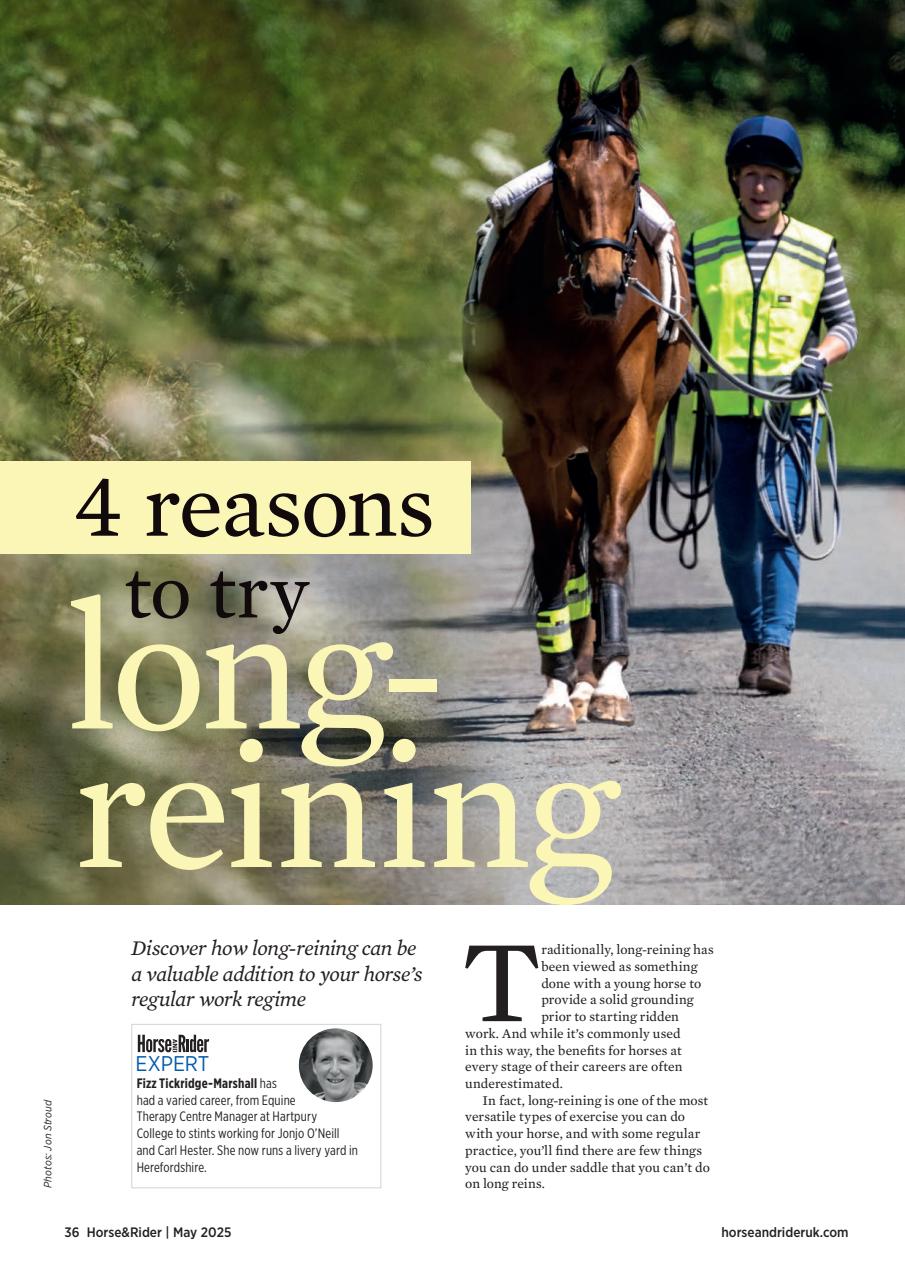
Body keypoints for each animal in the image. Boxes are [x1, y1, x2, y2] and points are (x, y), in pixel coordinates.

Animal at [464, 66, 690, 732]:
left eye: (632, 174)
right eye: (563, 175)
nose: (603, 285)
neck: (575, 322)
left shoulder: (624, 429)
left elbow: (609, 548)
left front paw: (610, 682)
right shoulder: (528, 437)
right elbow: (554, 557)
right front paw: (554, 689)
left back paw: (592, 680)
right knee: (569, 545)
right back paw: (573, 680)